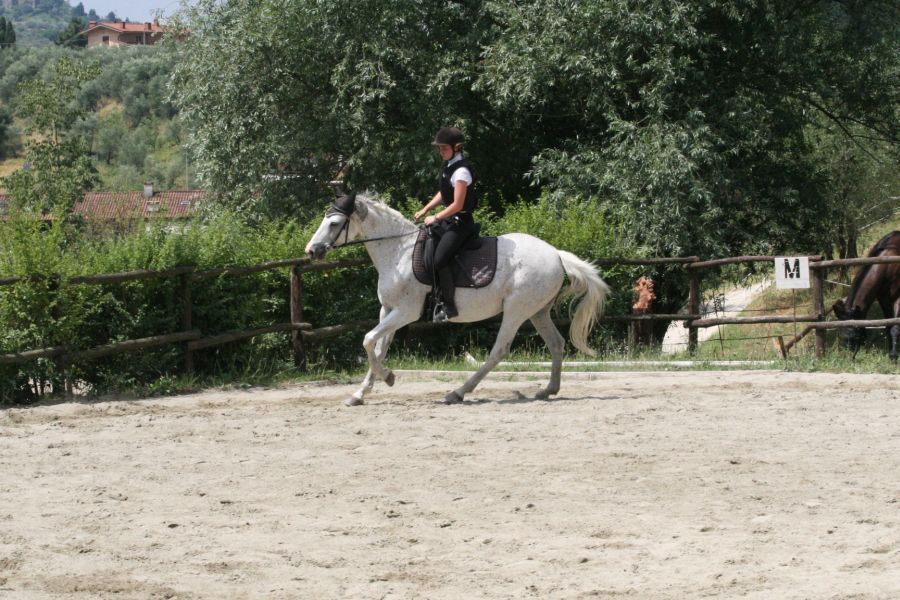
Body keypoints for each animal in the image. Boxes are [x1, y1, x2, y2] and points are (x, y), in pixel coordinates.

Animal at [304, 191, 612, 408]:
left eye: (334, 223)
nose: (311, 251)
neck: (398, 252)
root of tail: (556, 254)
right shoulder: (387, 310)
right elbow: (377, 348)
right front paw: (360, 393)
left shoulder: (405, 312)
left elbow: (368, 340)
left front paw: (388, 377)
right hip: (538, 311)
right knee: (556, 344)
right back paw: (548, 390)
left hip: (516, 310)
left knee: (499, 351)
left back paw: (458, 392)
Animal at [828, 229, 900, 360]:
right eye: (841, 333)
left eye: (855, 335)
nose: (848, 355)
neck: (886, 266)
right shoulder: (883, 299)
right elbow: (888, 324)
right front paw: (890, 349)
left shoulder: (898, 297)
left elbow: (895, 326)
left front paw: (894, 355)